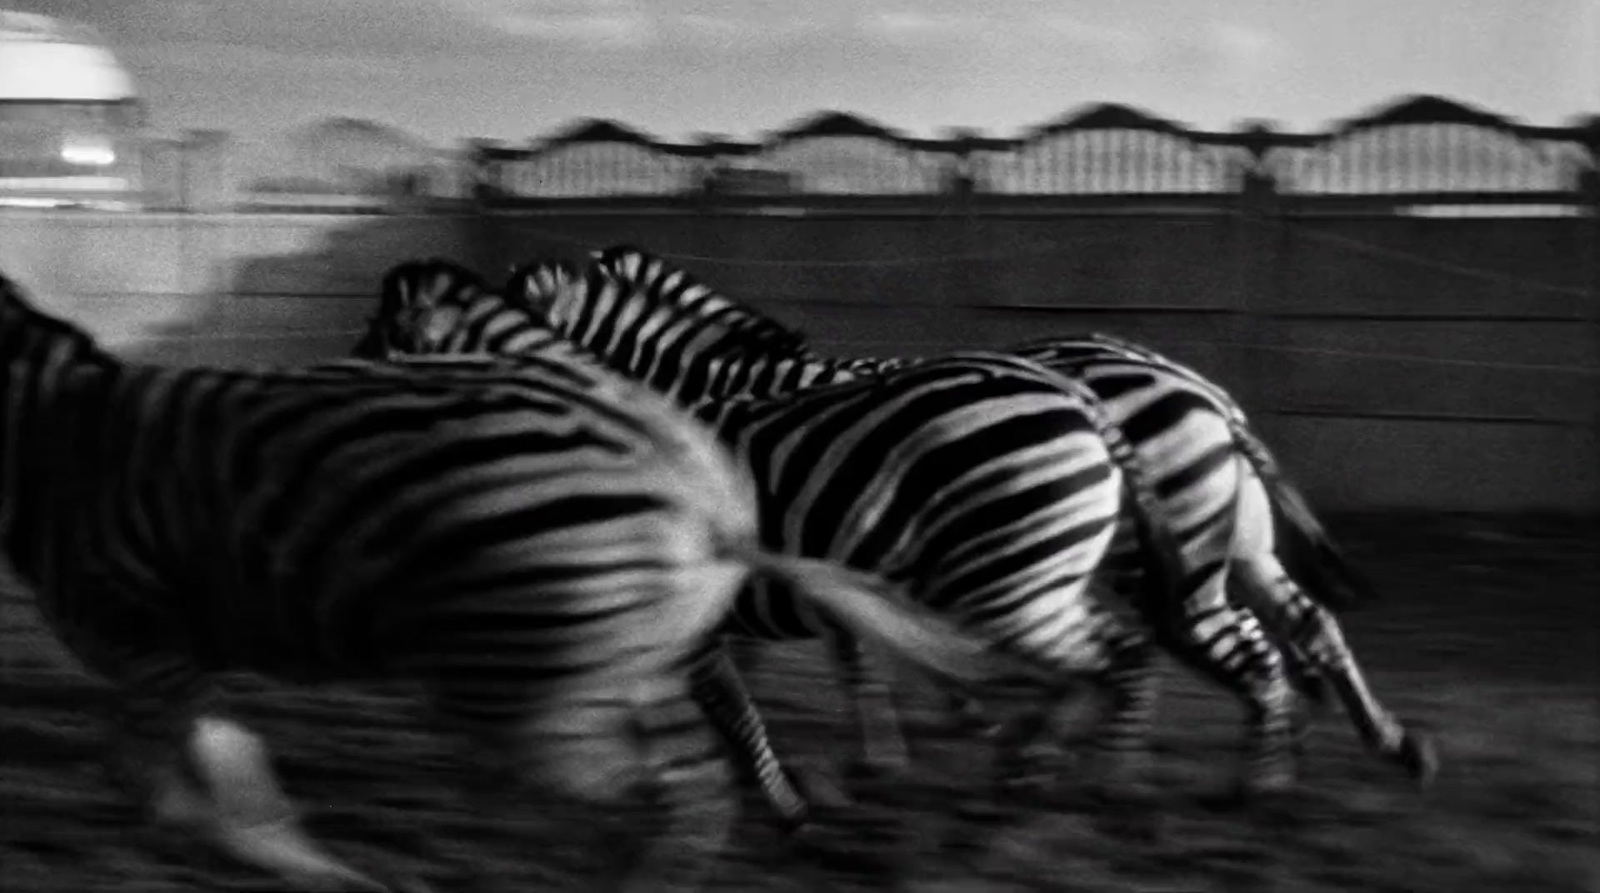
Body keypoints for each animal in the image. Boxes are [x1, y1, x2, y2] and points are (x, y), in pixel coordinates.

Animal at [534, 248, 1440, 800]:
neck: (735, 392)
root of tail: (1207, 393)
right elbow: (850, 647)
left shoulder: (824, 530)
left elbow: (846, 654)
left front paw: (898, 742)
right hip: (1234, 546)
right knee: (1306, 623)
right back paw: (1382, 743)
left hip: (1165, 560)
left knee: (1226, 644)